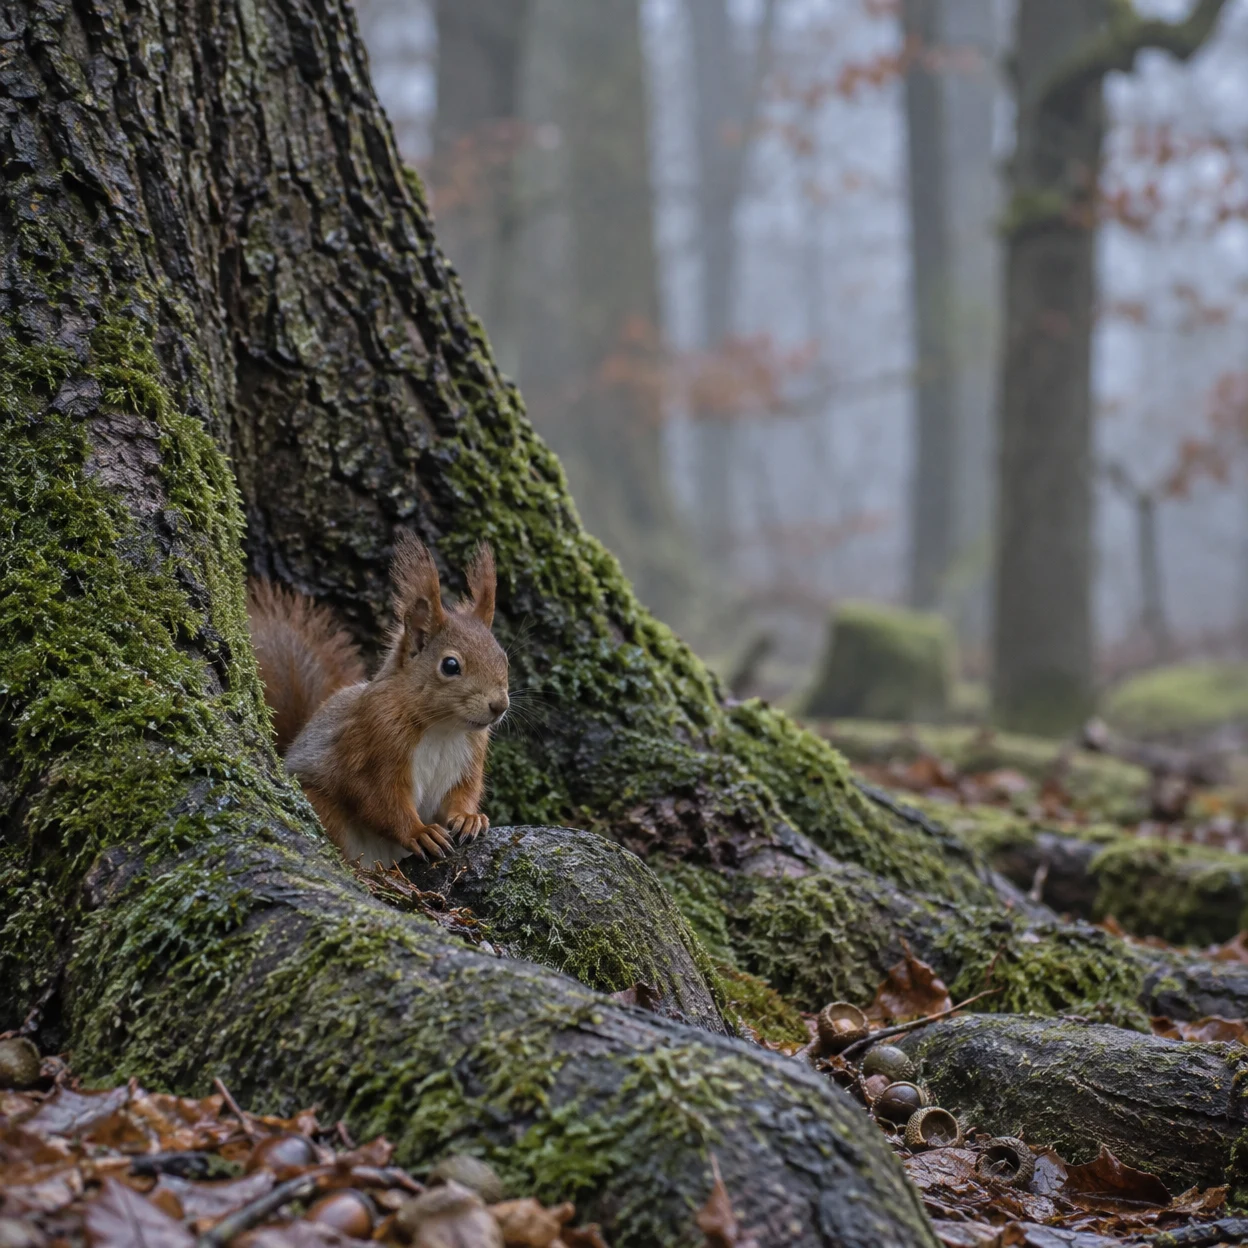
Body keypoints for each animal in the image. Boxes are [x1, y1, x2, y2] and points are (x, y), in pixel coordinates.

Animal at [246, 533, 509, 868]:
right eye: (450, 665)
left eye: (504, 659)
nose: (499, 706)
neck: (442, 728)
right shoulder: (374, 744)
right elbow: (379, 800)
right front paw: (420, 833)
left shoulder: (469, 759)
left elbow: (463, 792)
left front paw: (468, 817)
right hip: (324, 809)